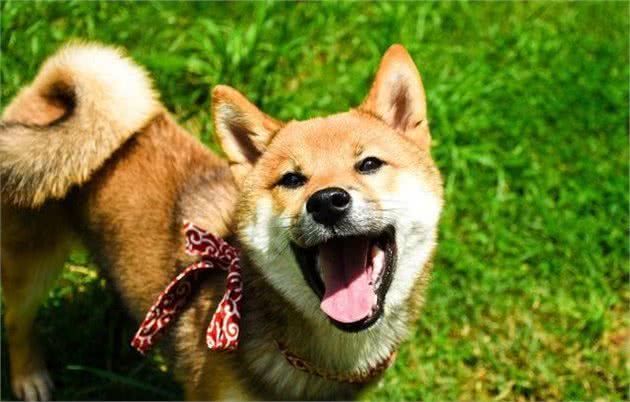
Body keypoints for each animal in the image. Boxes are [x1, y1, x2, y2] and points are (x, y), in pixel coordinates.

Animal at [0, 42, 443, 400]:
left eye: (369, 164)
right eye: (292, 179)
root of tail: (44, 96)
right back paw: (29, 378)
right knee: (16, 320)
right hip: (31, 262)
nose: (327, 202)